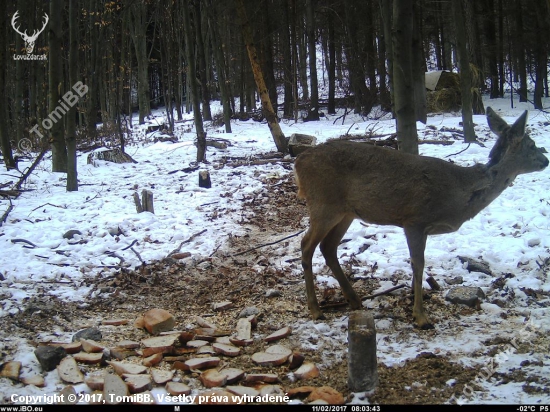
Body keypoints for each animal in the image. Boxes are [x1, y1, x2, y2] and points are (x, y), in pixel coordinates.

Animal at [296, 108, 548, 330]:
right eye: (531, 144)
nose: (545, 161)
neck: (460, 192)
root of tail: (298, 161)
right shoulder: (415, 220)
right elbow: (419, 264)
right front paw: (421, 317)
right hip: (323, 203)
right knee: (307, 245)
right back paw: (316, 309)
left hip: (346, 212)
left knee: (328, 247)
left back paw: (355, 300)